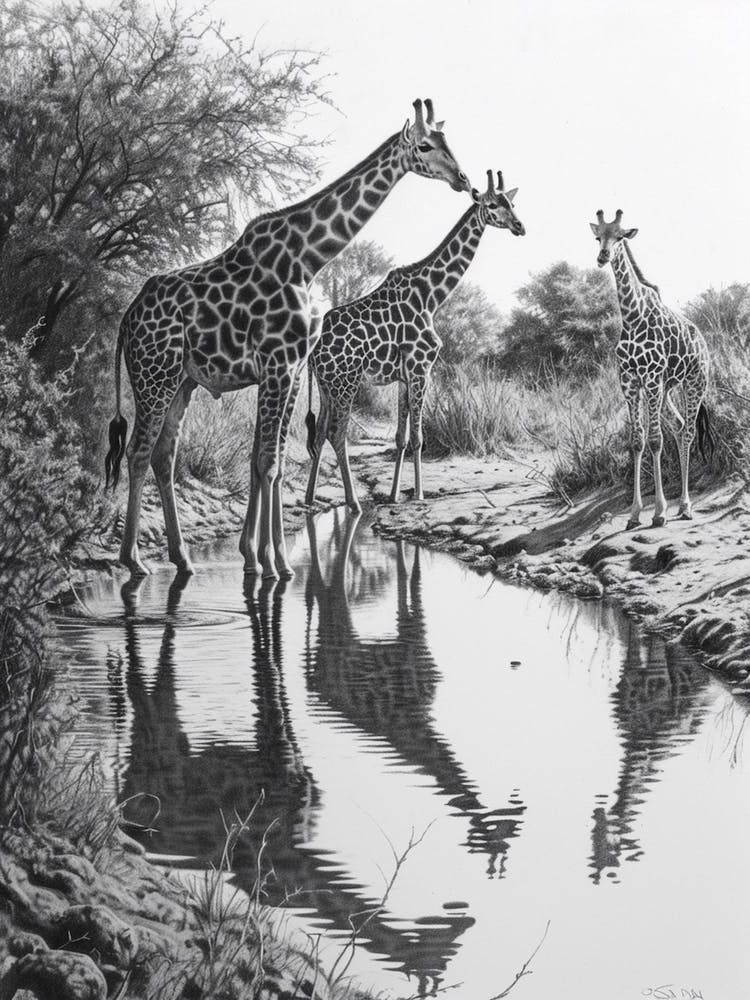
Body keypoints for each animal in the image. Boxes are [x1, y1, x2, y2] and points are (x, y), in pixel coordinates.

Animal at [104, 98, 471, 580]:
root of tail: (126, 319)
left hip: (183, 381)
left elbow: (271, 459)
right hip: (154, 376)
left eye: (449, 141)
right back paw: (134, 560)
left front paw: (268, 557)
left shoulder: (292, 368)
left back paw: (182, 558)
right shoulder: (277, 363)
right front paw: (270, 562)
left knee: (164, 456)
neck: (308, 259)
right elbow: (267, 461)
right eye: (425, 145)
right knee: (137, 453)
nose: (463, 178)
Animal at [305, 170, 525, 512]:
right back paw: (352, 501)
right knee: (337, 433)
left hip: (326, 385)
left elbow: (400, 436)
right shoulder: (422, 367)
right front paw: (419, 494)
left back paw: (310, 497)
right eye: (491, 205)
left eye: (512, 203)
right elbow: (418, 437)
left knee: (319, 434)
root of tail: (313, 350)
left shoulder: (404, 375)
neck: (431, 295)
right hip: (346, 381)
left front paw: (395, 495)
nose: (519, 226)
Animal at [590, 210, 713, 529]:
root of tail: (703, 342)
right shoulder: (630, 381)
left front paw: (659, 512)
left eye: (620, 236)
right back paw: (680, 505)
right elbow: (637, 442)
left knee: (688, 432)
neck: (632, 316)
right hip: (668, 388)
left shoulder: (652, 378)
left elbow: (656, 441)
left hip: (694, 383)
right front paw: (634, 514)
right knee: (680, 427)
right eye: (598, 236)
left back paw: (685, 506)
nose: (603, 255)